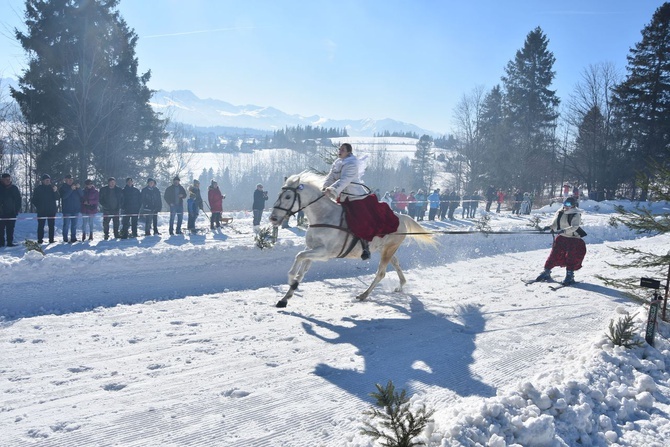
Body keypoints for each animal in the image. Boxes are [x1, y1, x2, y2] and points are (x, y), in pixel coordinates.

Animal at [270, 172, 436, 308]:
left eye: (287, 197)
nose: (273, 218)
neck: (324, 216)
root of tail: (401, 216)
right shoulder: (312, 250)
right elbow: (301, 269)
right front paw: (285, 297)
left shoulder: (324, 253)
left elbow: (299, 258)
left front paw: (291, 280)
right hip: (385, 249)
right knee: (396, 263)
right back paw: (401, 285)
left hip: (388, 249)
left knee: (381, 273)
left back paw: (364, 294)